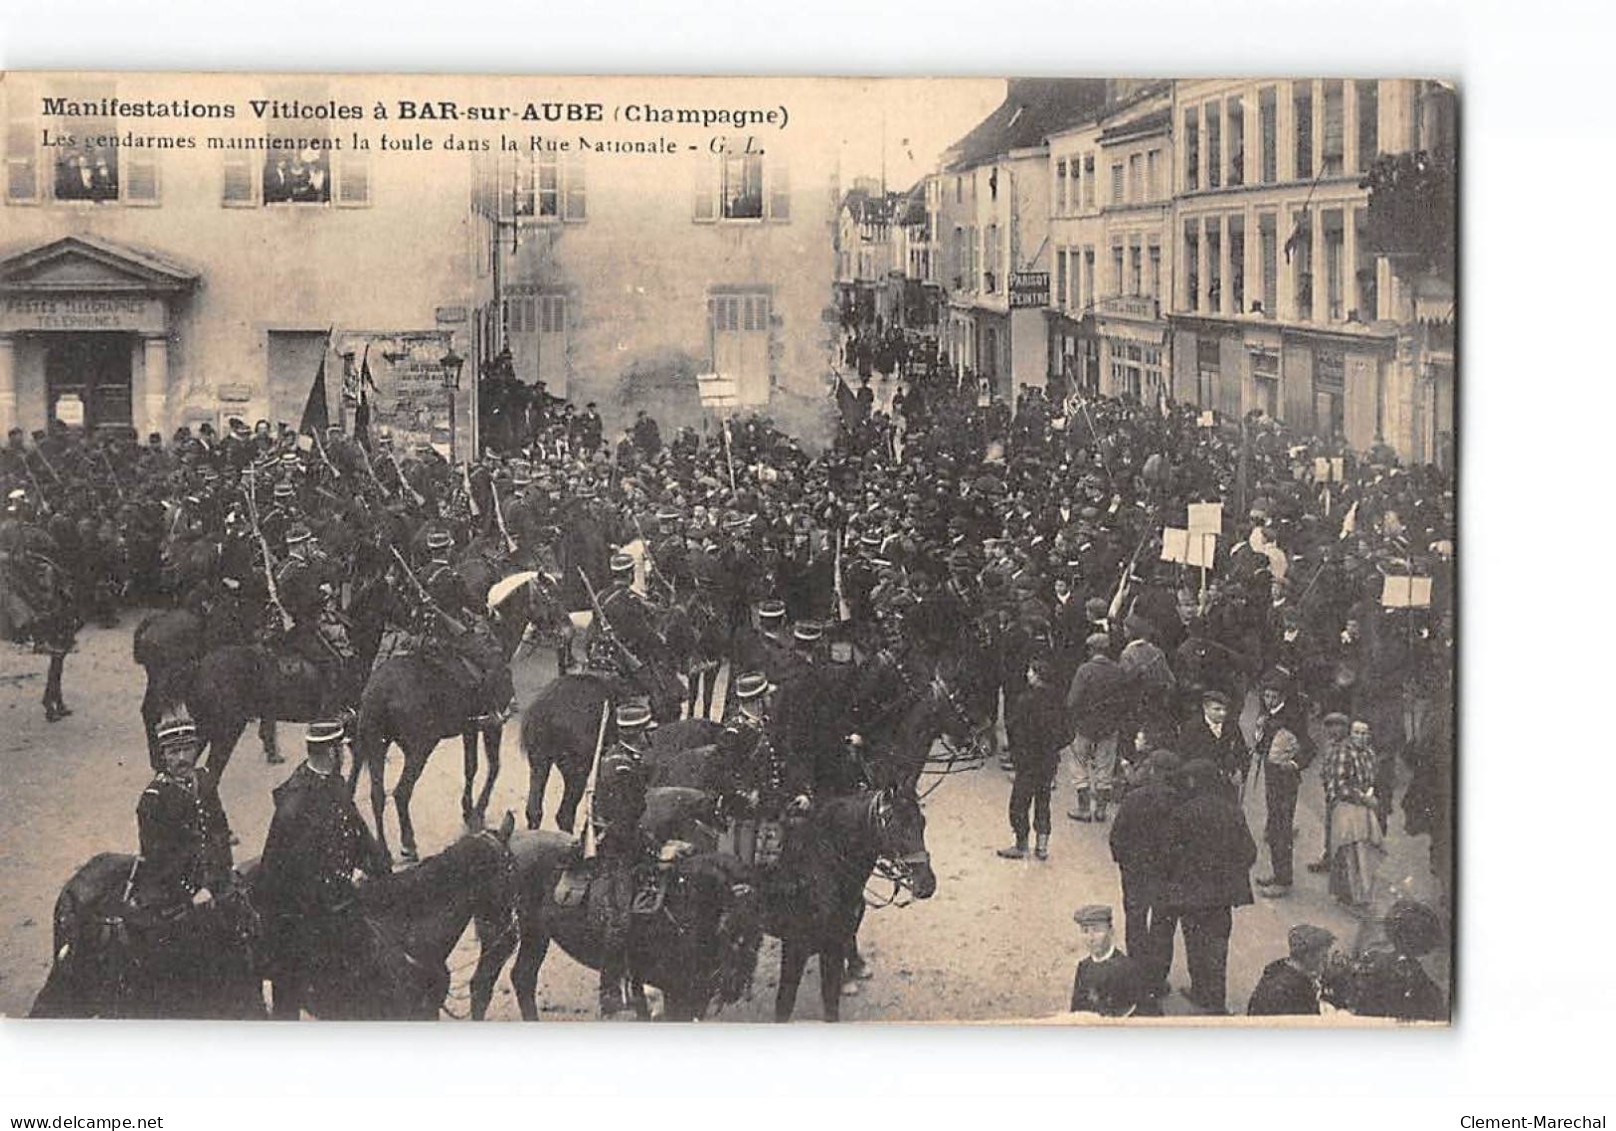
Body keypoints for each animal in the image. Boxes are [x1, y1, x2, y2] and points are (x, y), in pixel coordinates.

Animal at [468, 820, 762, 1027]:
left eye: (756, 933)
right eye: (727, 926)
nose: (735, 984)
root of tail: (504, 843)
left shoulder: (694, 994)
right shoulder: (673, 990)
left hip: (536, 934)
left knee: (523, 977)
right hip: (500, 934)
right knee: (482, 983)